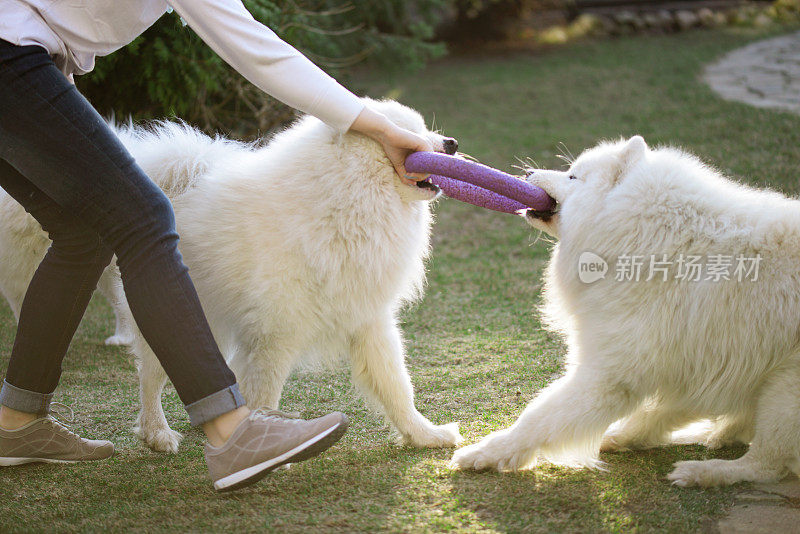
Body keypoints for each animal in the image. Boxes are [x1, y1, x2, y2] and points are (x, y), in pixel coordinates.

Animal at [450, 136, 800, 488]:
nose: (528, 172)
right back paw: (708, 436)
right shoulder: (692, 362)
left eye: (573, 176)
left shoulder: (610, 373)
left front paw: (485, 453)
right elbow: (658, 412)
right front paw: (625, 437)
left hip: (784, 390)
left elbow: (539, 417)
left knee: (767, 464)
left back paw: (703, 471)